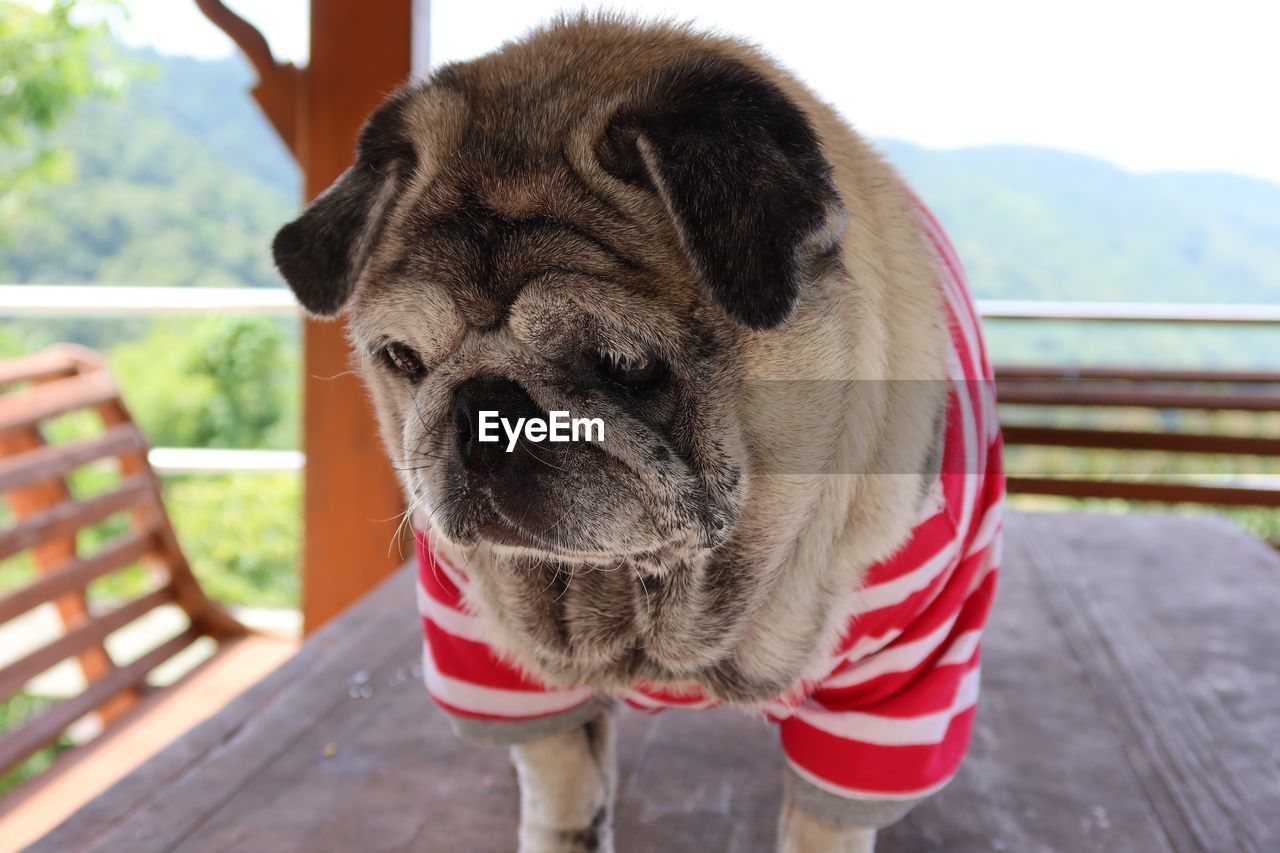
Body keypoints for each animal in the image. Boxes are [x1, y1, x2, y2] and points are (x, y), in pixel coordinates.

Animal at [275, 13, 1003, 850]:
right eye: (403, 359)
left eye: (623, 362)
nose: (483, 409)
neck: (648, 601)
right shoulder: (500, 675)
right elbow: (562, 792)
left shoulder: (905, 682)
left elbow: (829, 818)